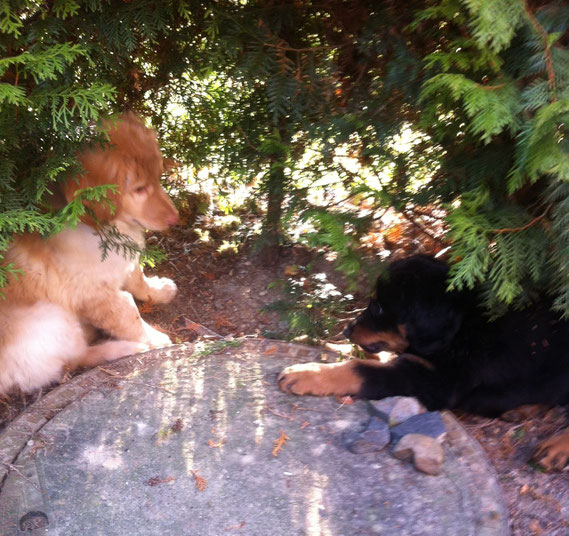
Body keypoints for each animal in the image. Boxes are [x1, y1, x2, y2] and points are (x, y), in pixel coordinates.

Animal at [0, 112, 178, 394]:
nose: (176, 218)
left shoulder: (123, 260)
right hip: (51, 319)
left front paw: (158, 290)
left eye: (159, 177)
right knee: (72, 361)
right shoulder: (94, 295)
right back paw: (124, 348)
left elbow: (138, 278)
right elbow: (129, 317)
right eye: (139, 189)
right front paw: (154, 339)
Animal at [280, 255, 569, 468]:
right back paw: (523, 410)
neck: (460, 328)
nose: (347, 330)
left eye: (380, 307)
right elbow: (371, 355)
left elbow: (360, 368)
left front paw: (307, 372)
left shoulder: (433, 381)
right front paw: (328, 345)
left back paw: (555, 448)